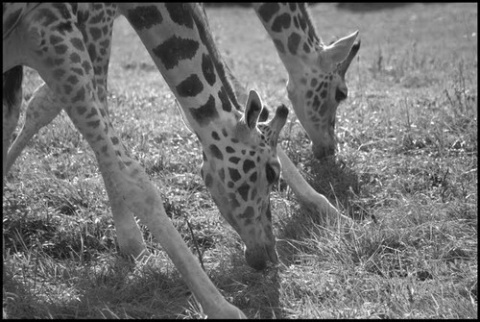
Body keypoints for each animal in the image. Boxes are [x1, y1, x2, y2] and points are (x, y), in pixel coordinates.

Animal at [3, 3, 296, 320]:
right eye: (271, 172)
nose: (268, 255)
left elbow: (26, 112)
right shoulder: (53, 37)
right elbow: (134, 180)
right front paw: (223, 309)